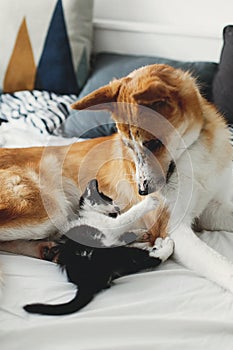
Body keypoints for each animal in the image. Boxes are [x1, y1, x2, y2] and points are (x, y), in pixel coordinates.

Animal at [0, 64, 233, 294]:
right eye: (129, 145)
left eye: (153, 143)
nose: (142, 191)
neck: (191, 151)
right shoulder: (173, 227)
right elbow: (220, 265)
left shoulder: (210, 211)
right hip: (48, 207)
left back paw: (48, 249)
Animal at [24, 180, 173, 314]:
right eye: (107, 199)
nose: (117, 208)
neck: (90, 214)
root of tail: (85, 283)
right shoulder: (111, 225)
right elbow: (127, 217)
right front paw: (149, 203)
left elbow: (124, 234)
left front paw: (140, 233)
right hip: (112, 254)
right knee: (150, 258)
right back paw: (166, 244)